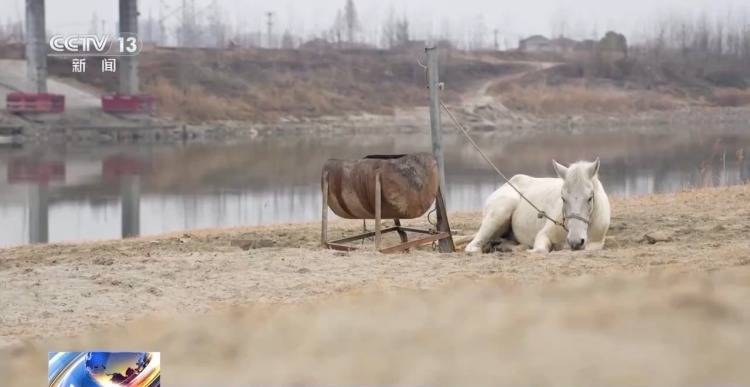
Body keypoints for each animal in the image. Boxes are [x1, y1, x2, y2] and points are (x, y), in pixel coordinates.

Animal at [468, 158, 612, 255]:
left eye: (590, 198)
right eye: (563, 198)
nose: (575, 241)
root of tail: (508, 183)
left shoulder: (596, 243)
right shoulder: (543, 235)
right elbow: (540, 251)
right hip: (499, 213)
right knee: (472, 247)